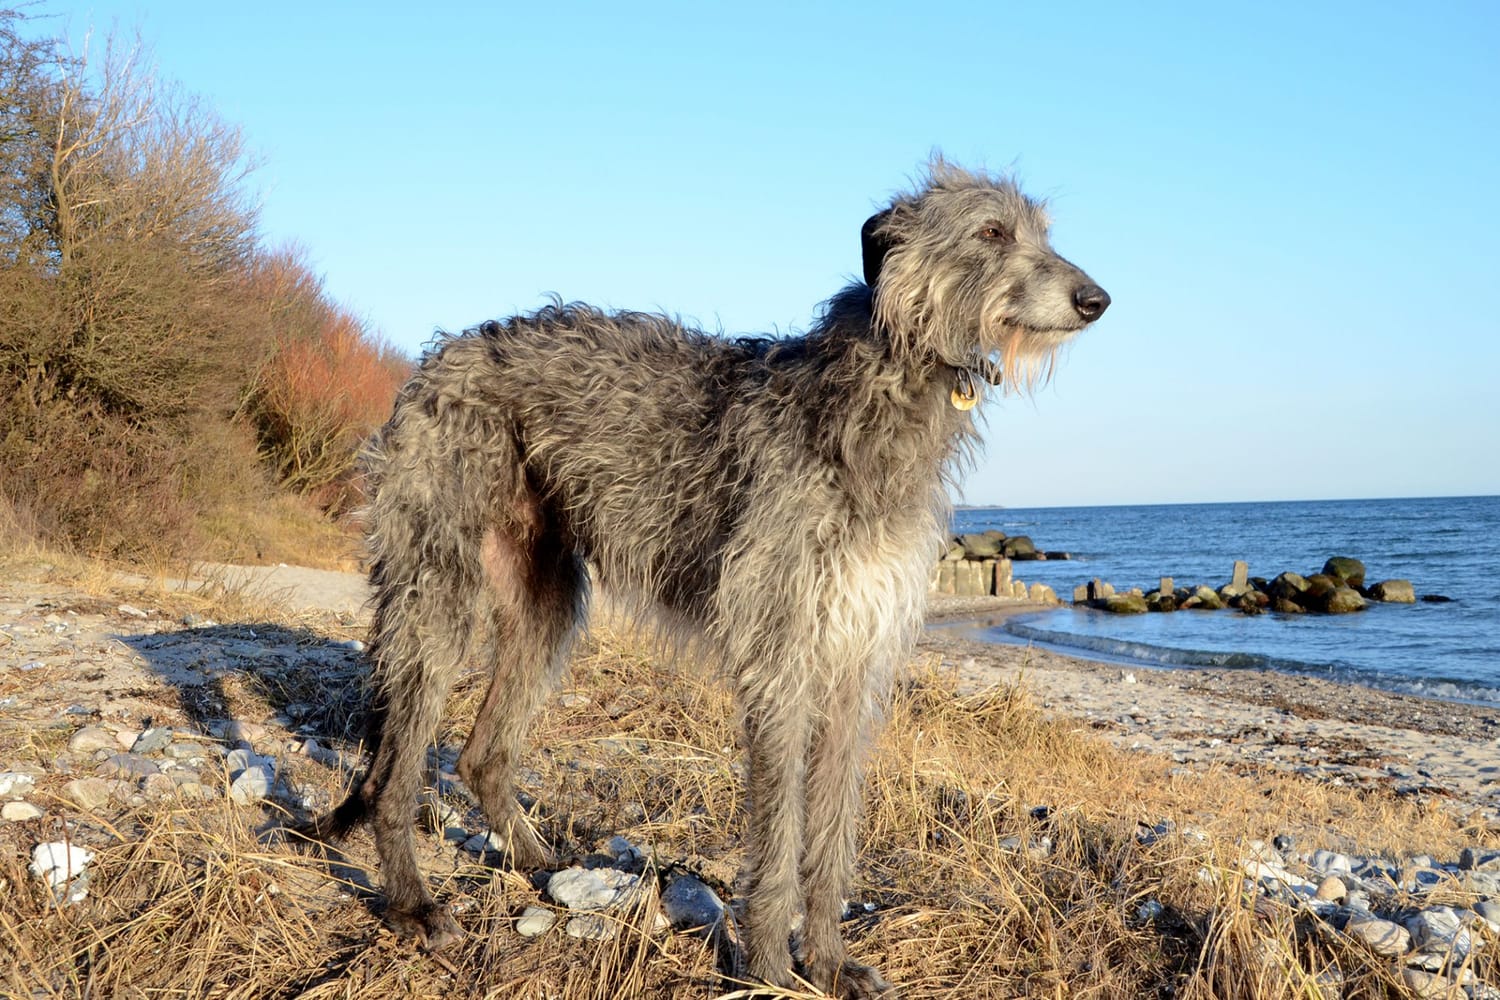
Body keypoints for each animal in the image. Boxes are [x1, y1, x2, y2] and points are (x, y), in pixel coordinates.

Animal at [298, 160, 1110, 995]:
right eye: (992, 232)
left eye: (1042, 232)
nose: (1096, 300)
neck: (877, 389)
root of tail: (435, 361)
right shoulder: (782, 654)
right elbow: (780, 835)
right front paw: (773, 967)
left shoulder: (855, 654)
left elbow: (832, 830)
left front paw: (829, 961)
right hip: (440, 589)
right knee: (395, 777)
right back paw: (413, 904)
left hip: (544, 598)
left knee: (481, 753)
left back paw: (540, 863)